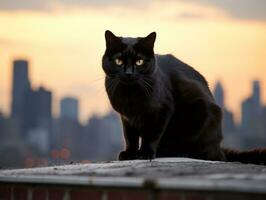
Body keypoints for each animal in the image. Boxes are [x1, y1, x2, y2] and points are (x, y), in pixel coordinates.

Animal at [101, 29, 266, 164]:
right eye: (118, 61)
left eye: (139, 61)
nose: (129, 73)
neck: (129, 96)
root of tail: (219, 148)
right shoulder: (127, 117)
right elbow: (130, 137)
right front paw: (129, 153)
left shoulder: (162, 110)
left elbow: (151, 134)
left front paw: (145, 153)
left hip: (204, 111)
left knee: (206, 153)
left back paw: (174, 152)